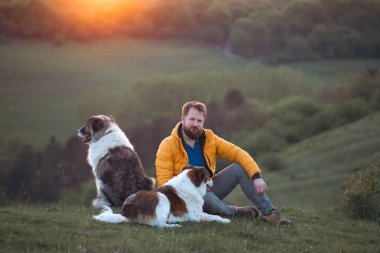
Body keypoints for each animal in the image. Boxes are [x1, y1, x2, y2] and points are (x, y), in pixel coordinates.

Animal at [94, 165, 232, 228]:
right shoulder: (196, 216)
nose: (213, 180)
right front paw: (225, 220)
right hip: (162, 198)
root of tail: (128, 210)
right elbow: (213, 216)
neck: (191, 184)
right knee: (160, 224)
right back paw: (174, 225)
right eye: (208, 177)